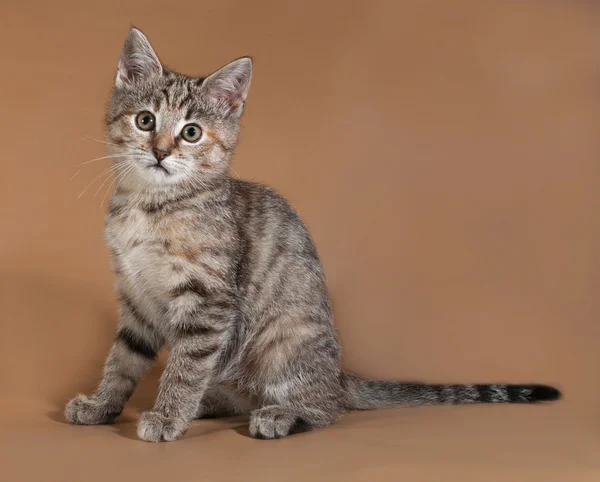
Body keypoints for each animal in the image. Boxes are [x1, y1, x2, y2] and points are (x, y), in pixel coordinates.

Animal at [65, 26, 564, 440]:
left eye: (191, 133)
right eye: (145, 121)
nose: (162, 152)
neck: (150, 206)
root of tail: (339, 373)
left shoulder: (208, 302)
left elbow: (185, 367)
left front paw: (168, 416)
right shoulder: (136, 298)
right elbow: (123, 360)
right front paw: (101, 406)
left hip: (283, 338)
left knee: (327, 408)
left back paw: (279, 415)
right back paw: (213, 403)